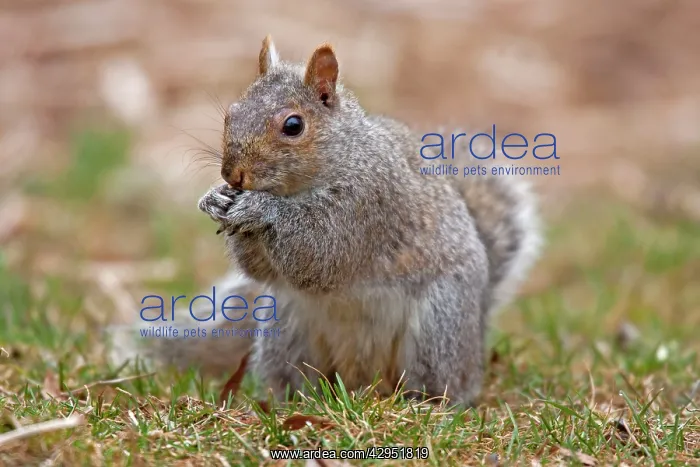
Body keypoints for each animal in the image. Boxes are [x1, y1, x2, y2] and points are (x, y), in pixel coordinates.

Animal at [108, 35, 542, 407]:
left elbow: (319, 254)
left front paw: (260, 209)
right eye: (231, 113)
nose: (234, 175)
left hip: (439, 327)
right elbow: (264, 269)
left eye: (293, 125)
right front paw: (215, 198)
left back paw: (426, 404)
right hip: (287, 330)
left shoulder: (366, 206)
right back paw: (294, 401)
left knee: (443, 382)